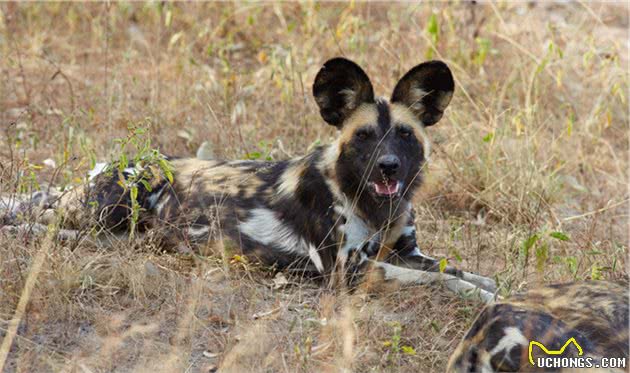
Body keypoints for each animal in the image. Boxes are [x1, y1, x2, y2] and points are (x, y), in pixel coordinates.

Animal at [3, 58, 498, 302]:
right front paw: (479, 296)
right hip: (112, 204)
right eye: (363, 136)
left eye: (404, 134)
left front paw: (489, 285)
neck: (376, 208)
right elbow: (442, 281)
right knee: (39, 216)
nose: (389, 166)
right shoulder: (349, 271)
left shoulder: (405, 252)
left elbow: (453, 268)